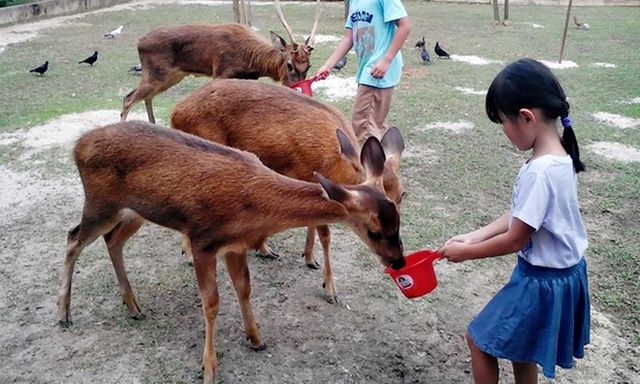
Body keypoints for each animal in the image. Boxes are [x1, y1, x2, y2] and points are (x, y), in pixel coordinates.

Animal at [57, 121, 402, 384]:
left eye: (399, 218)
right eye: (375, 231)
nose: (398, 260)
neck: (252, 209)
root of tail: (77, 147)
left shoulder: (236, 246)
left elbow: (244, 288)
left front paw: (256, 338)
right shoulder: (202, 240)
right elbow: (211, 303)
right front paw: (209, 368)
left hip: (133, 212)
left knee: (112, 241)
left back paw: (132, 305)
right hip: (100, 203)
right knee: (73, 238)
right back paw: (64, 314)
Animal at [119, 0, 320, 124]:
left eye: (308, 66)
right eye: (289, 65)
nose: (302, 92)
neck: (250, 61)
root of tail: (139, 43)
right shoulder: (220, 72)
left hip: (170, 77)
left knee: (146, 97)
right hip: (155, 74)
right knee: (128, 99)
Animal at [170, 79, 404, 304]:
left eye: (402, 195)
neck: (336, 162)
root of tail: (175, 112)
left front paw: (309, 258)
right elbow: (325, 234)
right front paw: (330, 290)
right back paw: (189, 254)